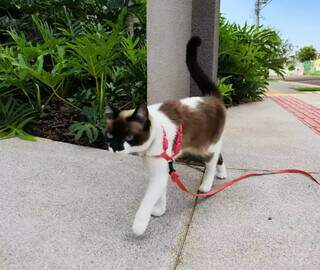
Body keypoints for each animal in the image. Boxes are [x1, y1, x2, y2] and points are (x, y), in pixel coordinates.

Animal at [104, 36, 226, 236]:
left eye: (128, 138)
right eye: (109, 135)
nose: (114, 147)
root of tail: (211, 98)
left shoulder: (159, 171)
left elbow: (147, 200)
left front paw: (139, 226)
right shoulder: (159, 169)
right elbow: (160, 195)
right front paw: (160, 211)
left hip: (205, 146)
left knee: (212, 160)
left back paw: (207, 185)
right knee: (220, 156)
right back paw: (222, 174)